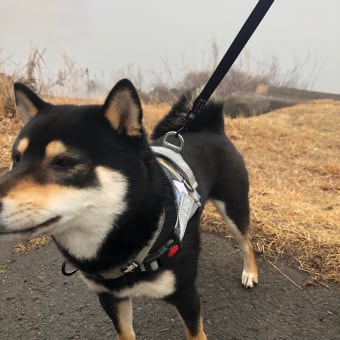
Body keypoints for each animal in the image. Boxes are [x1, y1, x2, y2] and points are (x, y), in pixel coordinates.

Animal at [0, 78, 258, 338]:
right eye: (16, 159)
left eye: (65, 162)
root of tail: (211, 129)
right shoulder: (110, 296)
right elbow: (125, 332)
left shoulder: (186, 296)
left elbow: (195, 332)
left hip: (233, 208)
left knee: (245, 242)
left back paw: (250, 273)